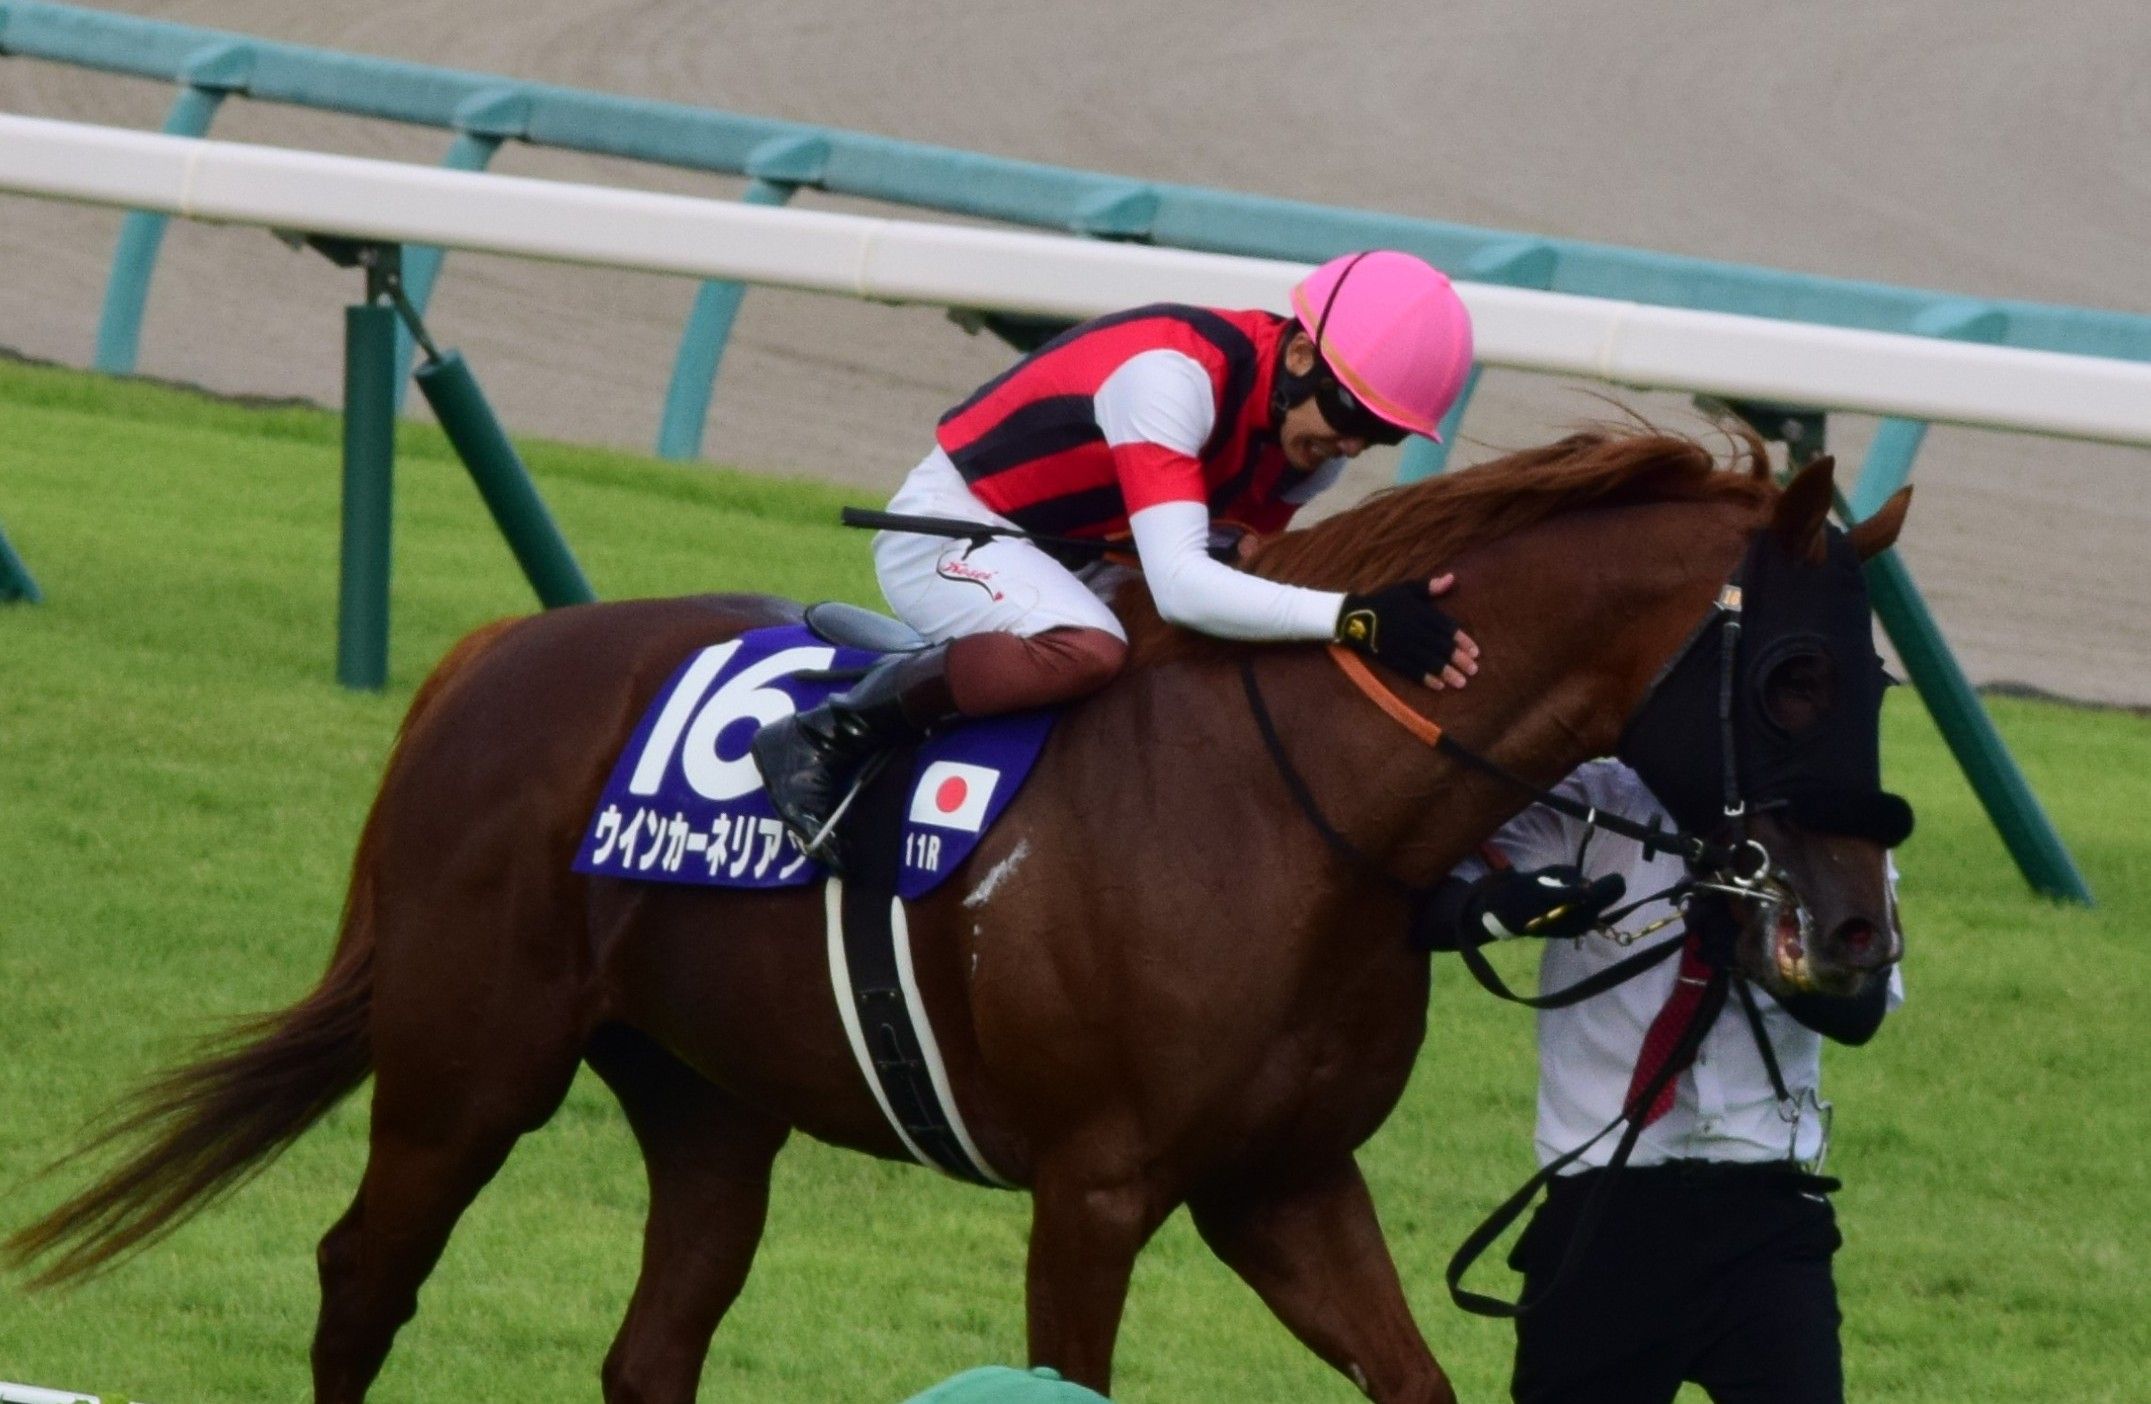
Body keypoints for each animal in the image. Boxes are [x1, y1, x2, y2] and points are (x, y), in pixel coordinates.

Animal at [8, 426, 1912, 1403]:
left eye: (1881, 673)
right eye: (1794, 675)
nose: (1852, 942)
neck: (1294, 813)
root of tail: (488, 655)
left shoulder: (1281, 1182)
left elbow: (1413, 1380)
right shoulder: (1095, 1187)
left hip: (709, 1104)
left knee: (651, 1346)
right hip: (468, 1063)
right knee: (362, 1278)